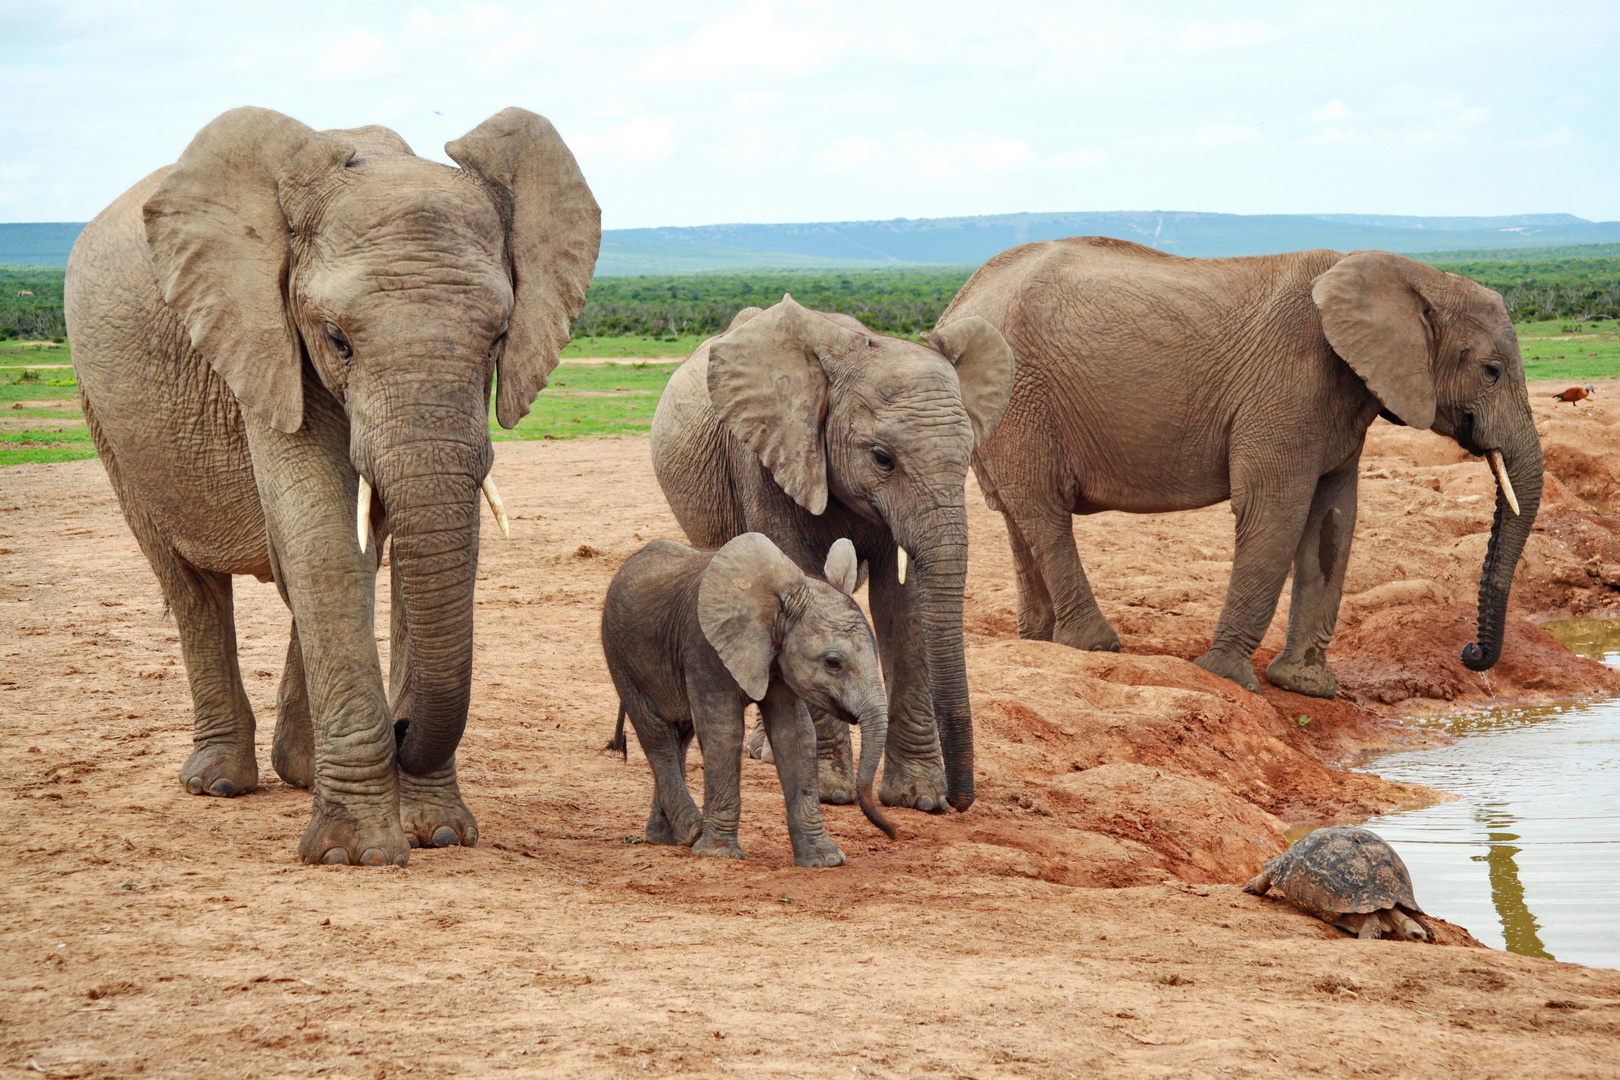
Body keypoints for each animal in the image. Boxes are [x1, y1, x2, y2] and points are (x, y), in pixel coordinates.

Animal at [64, 107, 602, 867]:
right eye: (337, 339)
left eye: (499, 338)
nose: (403, 729)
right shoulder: (265, 340)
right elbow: (324, 537)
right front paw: (356, 855)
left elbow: (405, 551)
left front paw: (438, 832)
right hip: (104, 412)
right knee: (188, 581)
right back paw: (218, 782)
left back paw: (300, 771)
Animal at [602, 537, 900, 867]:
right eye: (833, 663)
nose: (894, 832)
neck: (782, 599)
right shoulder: (703, 644)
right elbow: (724, 730)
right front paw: (719, 854)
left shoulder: (778, 657)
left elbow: (795, 734)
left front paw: (826, 861)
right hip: (621, 656)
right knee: (657, 736)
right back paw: (691, 831)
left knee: (680, 734)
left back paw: (668, 837)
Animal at [648, 296, 1010, 809]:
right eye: (882, 458)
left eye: (967, 458)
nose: (961, 802)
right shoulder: (766, 456)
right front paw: (829, 792)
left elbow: (904, 605)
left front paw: (919, 798)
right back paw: (765, 752)